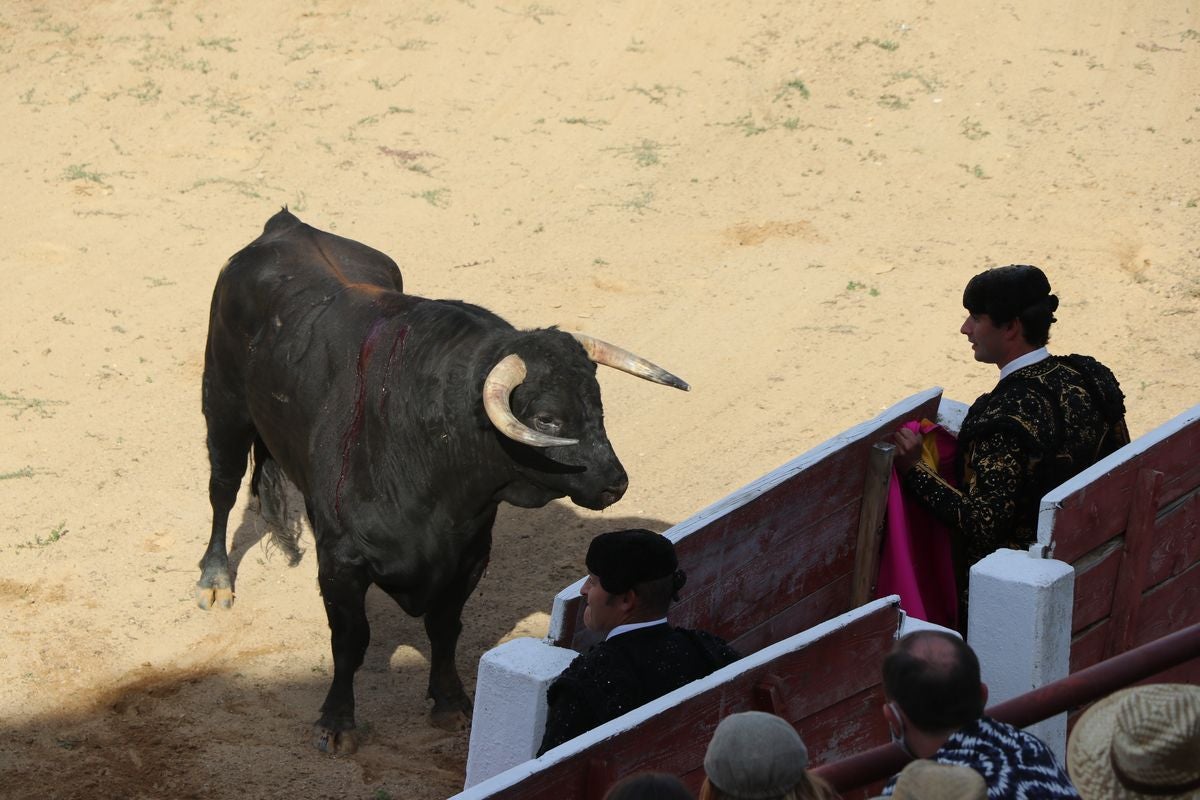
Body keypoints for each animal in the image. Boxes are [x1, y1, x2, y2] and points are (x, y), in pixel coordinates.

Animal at [196, 209, 686, 753]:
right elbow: (349, 640)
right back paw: (215, 580)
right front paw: (337, 722)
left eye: (597, 405)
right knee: (222, 488)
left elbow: (445, 628)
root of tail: (285, 225)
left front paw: (450, 704)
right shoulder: (341, 560)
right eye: (547, 419)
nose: (615, 483)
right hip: (223, 404)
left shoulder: (469, 554)